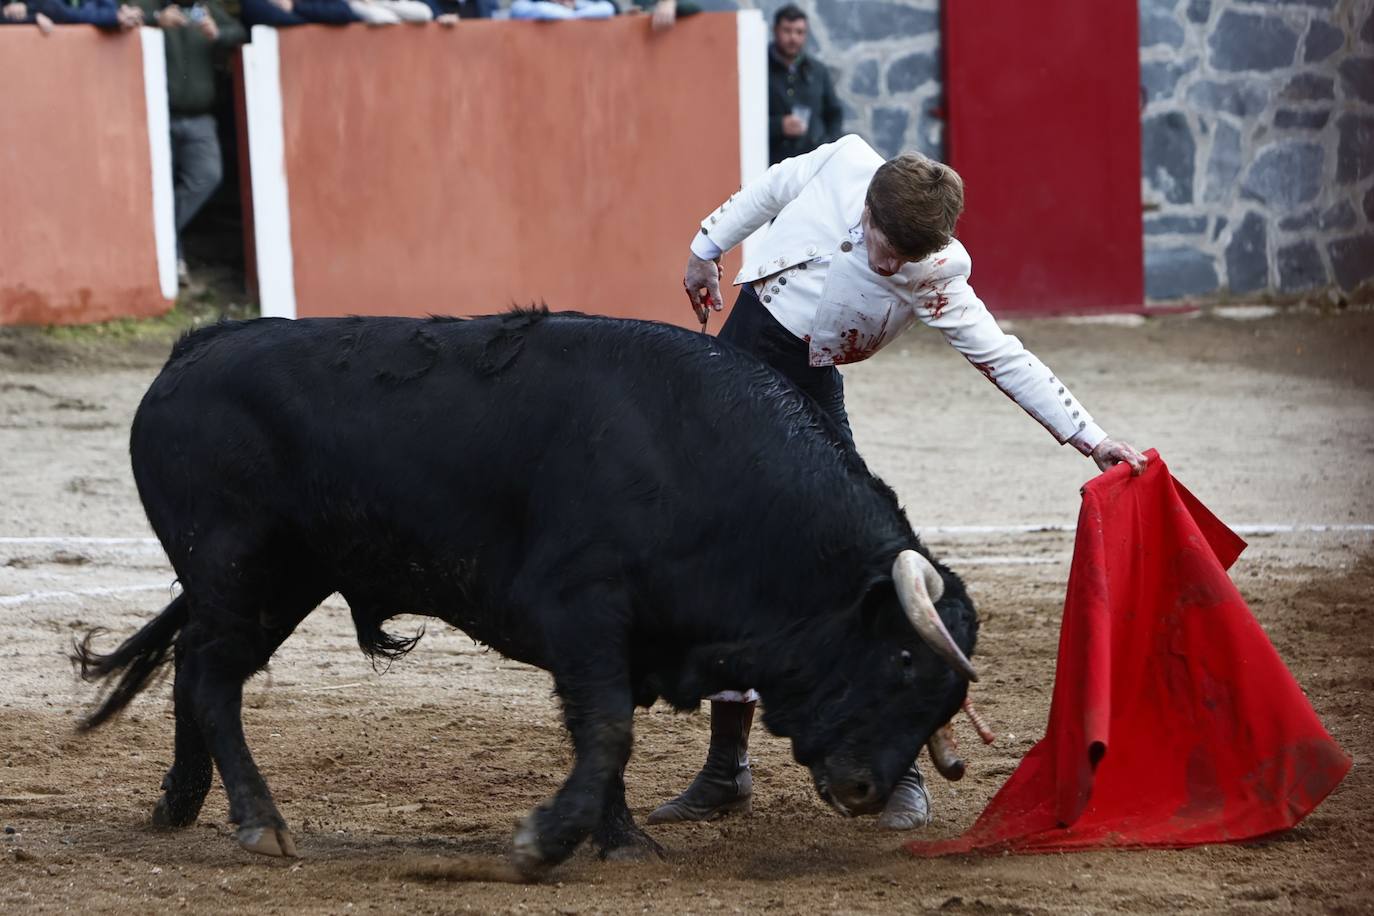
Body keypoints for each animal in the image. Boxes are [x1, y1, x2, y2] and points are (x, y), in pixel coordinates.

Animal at [77, 311, 978, 878]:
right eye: (901, 659)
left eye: (942, 699)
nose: (865, 790)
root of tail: (192, 352)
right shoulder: (581, 612)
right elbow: (607, 729)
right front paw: (545, 843)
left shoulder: (625, 641)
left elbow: (606, 735)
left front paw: (617, 840)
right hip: (238, 571)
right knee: (209, 681)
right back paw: (260, 822)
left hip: (282, 582)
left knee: (194, 672)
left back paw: (182, 804)